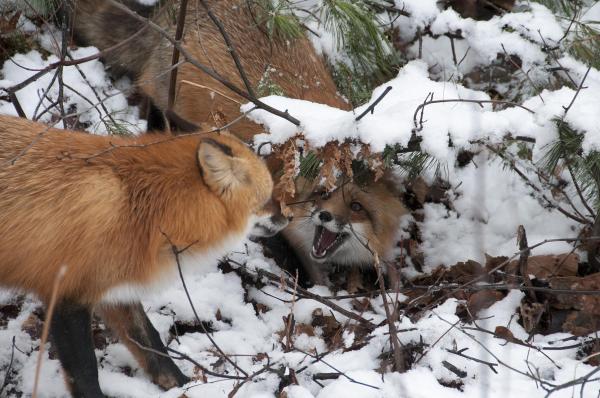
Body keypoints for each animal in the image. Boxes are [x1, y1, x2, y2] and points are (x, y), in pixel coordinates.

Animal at [0, 113, 276, 396]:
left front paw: (183, 386)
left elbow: (152, 343)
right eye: (267, 199)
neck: (139, 209)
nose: (287, 216)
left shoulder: (111, 286)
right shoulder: (67, 296)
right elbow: (85, 373)